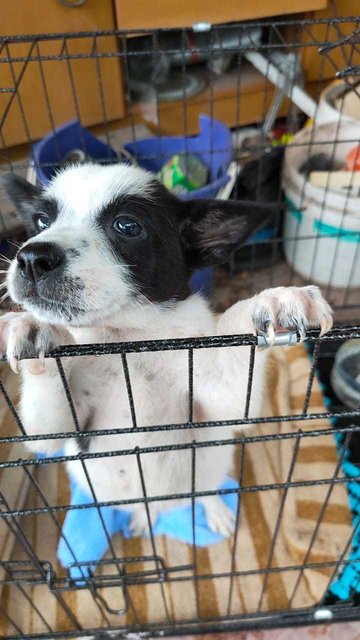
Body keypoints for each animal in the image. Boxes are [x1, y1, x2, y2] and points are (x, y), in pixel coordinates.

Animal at [0, 164, 334, 536]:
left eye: (127, 226)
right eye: (41, 221)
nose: (31, 258)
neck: (127, 340)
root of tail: (167, 504)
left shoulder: (220, 402)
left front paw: (272, 300)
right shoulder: (52, 432)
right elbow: (46, 429)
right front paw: (33, 328)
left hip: (210, 466)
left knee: (205, 491)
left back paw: (214, 510)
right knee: (151, 505)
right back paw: (144, 517)